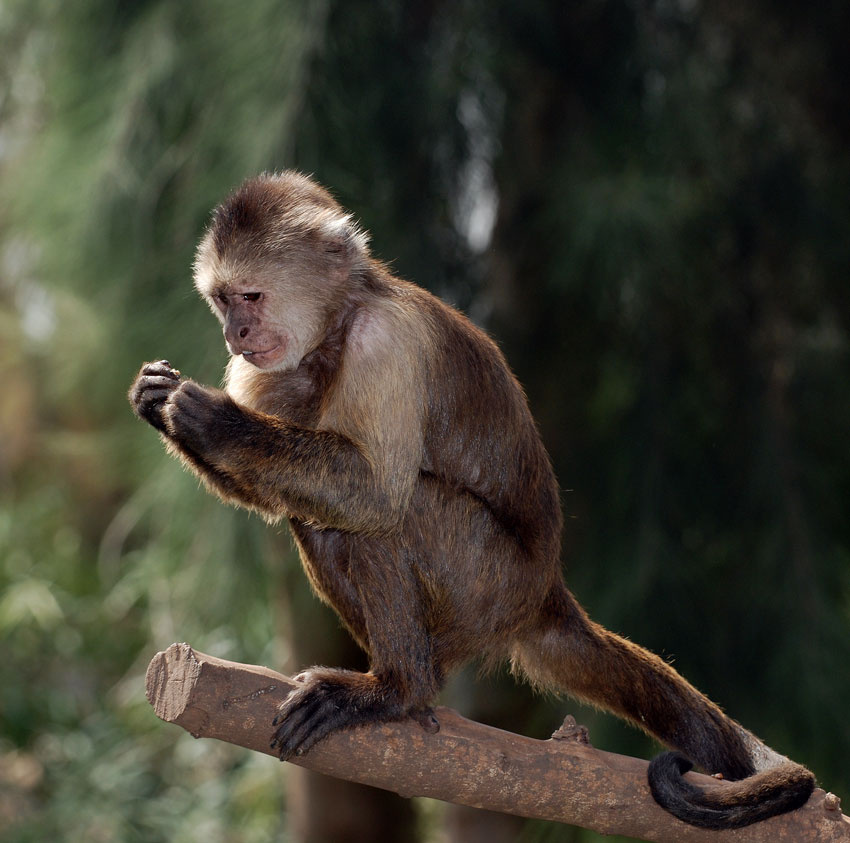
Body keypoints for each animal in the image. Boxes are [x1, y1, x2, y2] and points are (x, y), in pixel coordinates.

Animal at [129, 171, 815, 829]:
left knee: (388, 517)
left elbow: (376, 492)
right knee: (319, 519)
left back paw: (397, 690)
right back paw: (414, 688)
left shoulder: (386, 342)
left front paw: (214, 422)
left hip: (488, 585)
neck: (337, 326)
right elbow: (283, 495)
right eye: (221, 301)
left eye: (250, 297)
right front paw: (157, 404)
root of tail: (545, 590)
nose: (234, 332)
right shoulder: (267, 367)